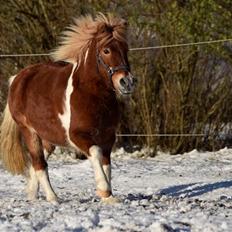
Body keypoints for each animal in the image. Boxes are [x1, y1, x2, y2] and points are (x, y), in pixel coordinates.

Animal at [0, 13, 136, 204]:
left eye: (126, 49)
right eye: (106, 50)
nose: (127, 82)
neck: (93, 96)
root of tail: (17, 78)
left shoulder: (108, 137)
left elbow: (106, 163)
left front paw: (110, 197)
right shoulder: (77, 136)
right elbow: (95, 153)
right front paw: (103, 190)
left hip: (48, 137)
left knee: (38, 161)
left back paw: (33, 194)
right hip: (29, 131)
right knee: (39, 164)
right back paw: (53, 197)